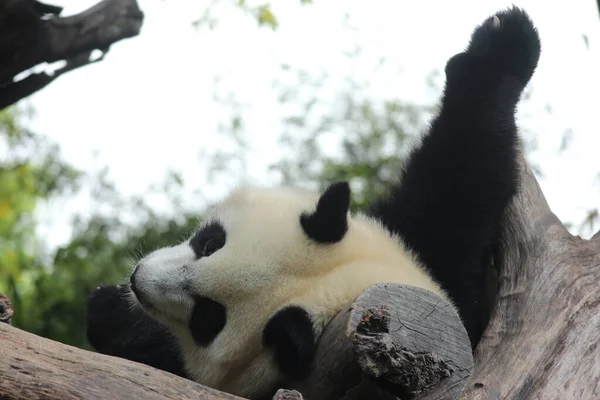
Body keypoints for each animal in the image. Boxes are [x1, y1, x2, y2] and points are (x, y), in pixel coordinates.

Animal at [86, 7, 540, 400]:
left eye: (207, 319)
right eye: (211, 242)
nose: (138, 281)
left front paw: (113, 315)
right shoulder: (426, 241)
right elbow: (463, 167)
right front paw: (506, 39)